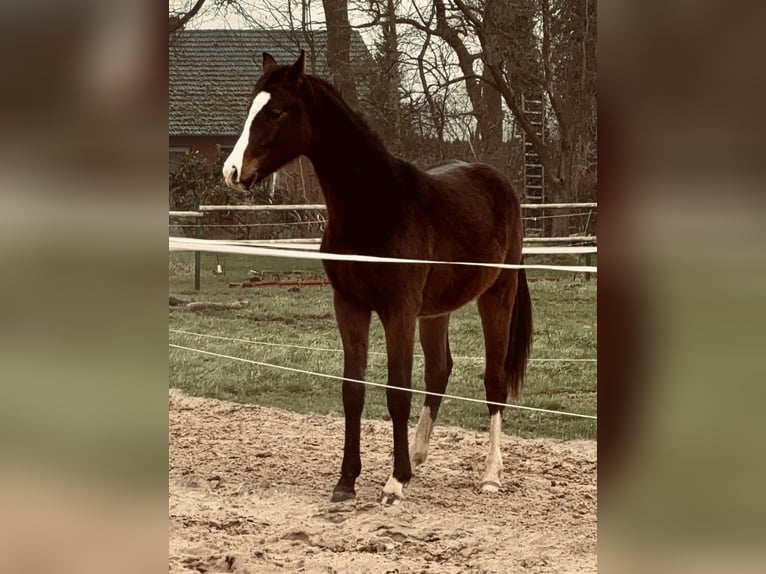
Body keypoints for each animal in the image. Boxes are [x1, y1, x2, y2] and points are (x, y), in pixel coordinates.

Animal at [222, 53, 536, 504]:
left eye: (277, 111)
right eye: (251, 107)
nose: (232, 172)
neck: (374, 207)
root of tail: (500, 182)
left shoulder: (397, 310)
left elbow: (397, 391)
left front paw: (394, 482)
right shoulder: (350, 305)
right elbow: (353, 390)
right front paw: (346, 481)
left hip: (497, 294)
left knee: (494, 380)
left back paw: (490, 475)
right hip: (435, 311)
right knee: (439, 372)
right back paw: (419, 456)